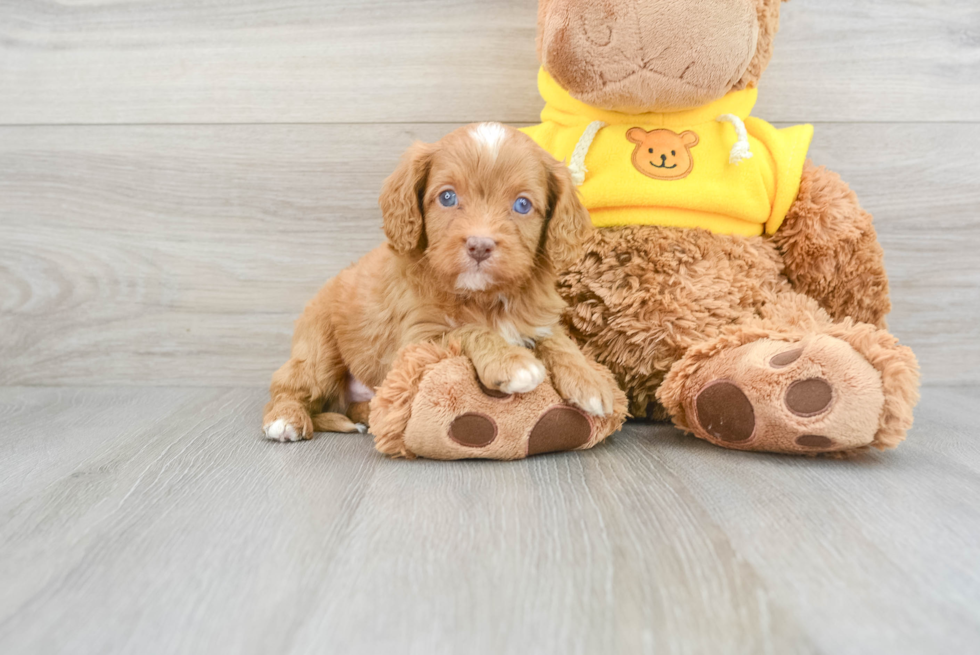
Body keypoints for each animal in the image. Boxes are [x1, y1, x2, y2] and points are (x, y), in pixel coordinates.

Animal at [260, 121, 612, 440]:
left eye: (523, 204)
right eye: (447, 197)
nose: (480, 245)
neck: (483, 297)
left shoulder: (535, 317)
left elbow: (557, 339)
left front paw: (589, 380)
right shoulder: (416, 340)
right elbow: (466, 330)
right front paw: (511, 362)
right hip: (318, 349)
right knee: (287, 384)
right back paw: (285, 419)